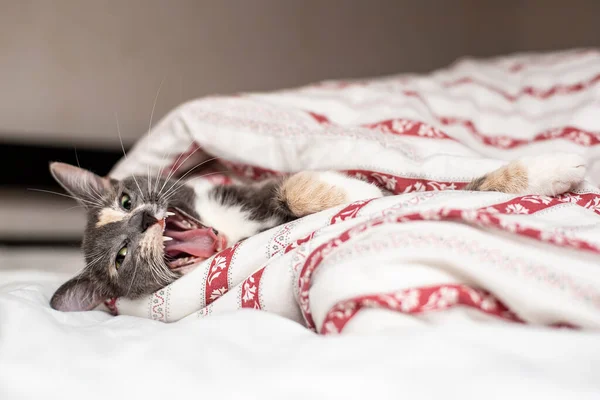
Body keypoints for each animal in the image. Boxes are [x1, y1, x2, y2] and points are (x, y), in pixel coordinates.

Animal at [48, 153, 584, 312]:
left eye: (124, 201)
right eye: (120, 259)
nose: (142, 220)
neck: (230, 230)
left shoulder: (251, 187)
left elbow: (299, 184)